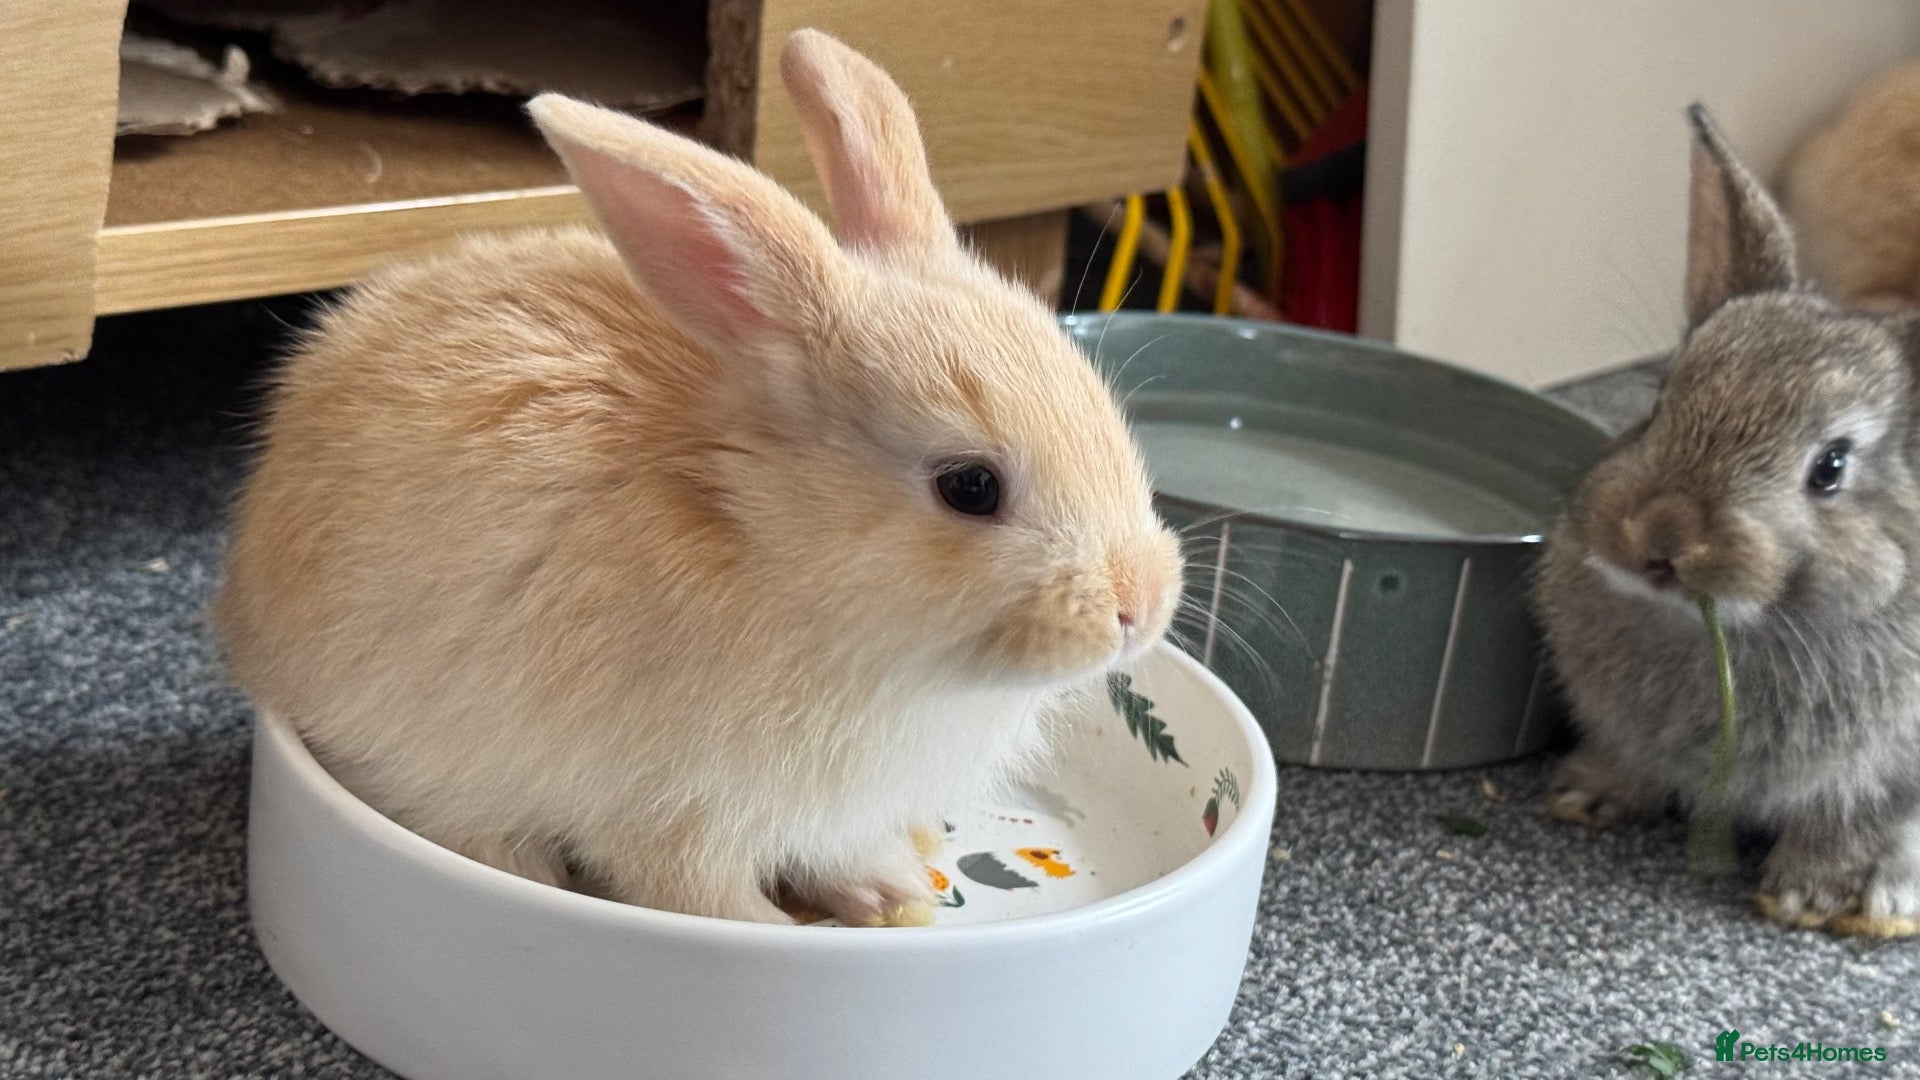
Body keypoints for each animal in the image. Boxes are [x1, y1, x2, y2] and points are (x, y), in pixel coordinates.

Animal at [213, 28, 1183, 927]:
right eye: (969, 488)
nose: (1139, 608)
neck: (760, 537)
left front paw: (889, 893)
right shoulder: (671, 814)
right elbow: (694, 893)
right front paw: (777, 929)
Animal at [1535, 104, 1920, 939]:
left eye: (1830, 467)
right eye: (1660, 397)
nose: (1659, 538)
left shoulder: (1883, 778)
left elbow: (1853, 825)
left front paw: (1808, 896)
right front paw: (1585, 795)